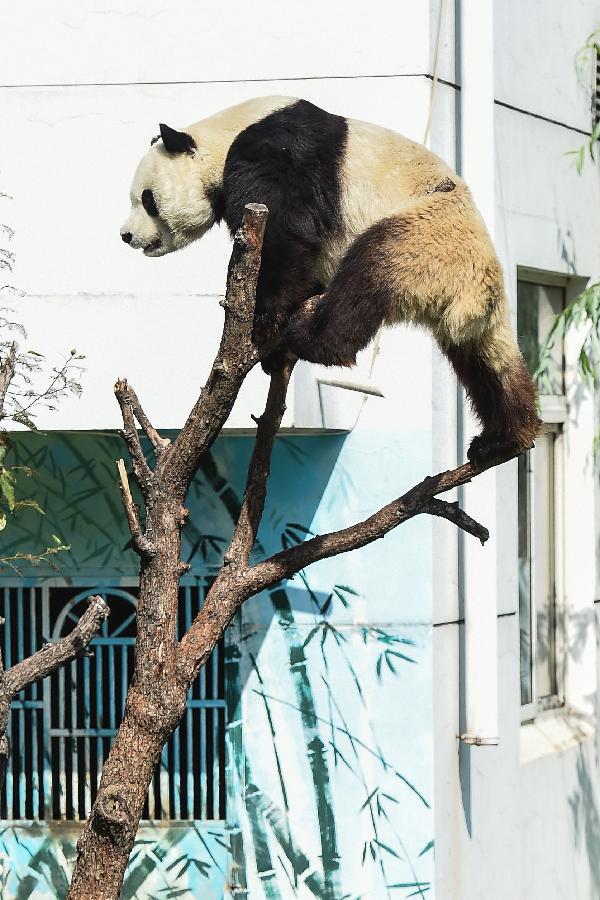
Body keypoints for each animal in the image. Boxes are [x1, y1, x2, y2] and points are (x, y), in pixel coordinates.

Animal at [120, 96, 540, 464]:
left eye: (147, 199)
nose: (125, 235)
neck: (224, 133)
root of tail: (478, 292)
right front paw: (273, 352)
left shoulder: (276, 153)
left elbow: (286, 231)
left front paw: (265, 320)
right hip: (463, 293)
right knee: (488, 363)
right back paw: (505, 438)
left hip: (425, 237)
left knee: (367, 274)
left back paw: (313, 338)